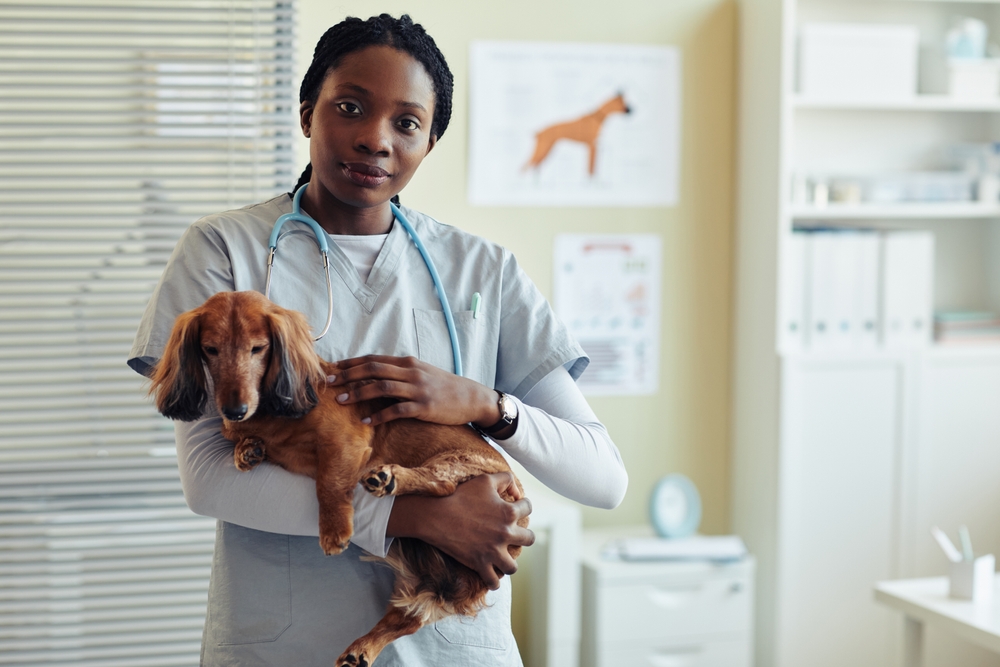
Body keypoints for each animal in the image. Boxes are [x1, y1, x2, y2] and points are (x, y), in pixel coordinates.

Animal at [147, 290, 528, 667]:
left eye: (257, 348)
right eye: (210, 349)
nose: (234, 410)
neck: (275, 409)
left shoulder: (345, 440)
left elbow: (328, 483)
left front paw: (333, 530)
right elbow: (244, 442)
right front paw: (247, 449)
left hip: (458, 464)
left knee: (443, 484)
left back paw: (388, 478)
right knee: (402, 620)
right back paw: (362, 649)